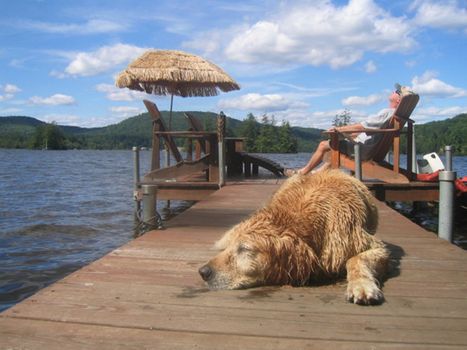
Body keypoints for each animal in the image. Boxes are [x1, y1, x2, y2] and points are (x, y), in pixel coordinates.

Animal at [199, 169, 390, 304]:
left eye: (244, 249)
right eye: (231, 247)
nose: (203, 272)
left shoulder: (371, 245)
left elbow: (355, 259)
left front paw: (361, 285)